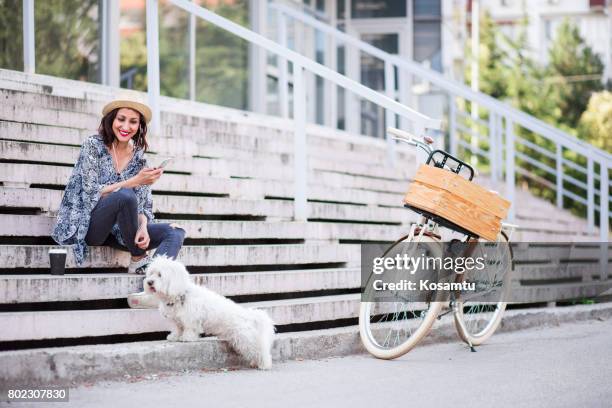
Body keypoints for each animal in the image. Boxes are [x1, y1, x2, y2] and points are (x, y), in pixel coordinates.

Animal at [143, 258, 274, 370]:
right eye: (151, 273)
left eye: (160, 275)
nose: (149, 282)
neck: (180, 295)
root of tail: (249, 316)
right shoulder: (176, 321)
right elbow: (177, 329)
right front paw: (174, 337)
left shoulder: (191, 319)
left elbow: (189, 329)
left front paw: (186, 338)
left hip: (244, 338)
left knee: (259, 350)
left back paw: (264, 364)